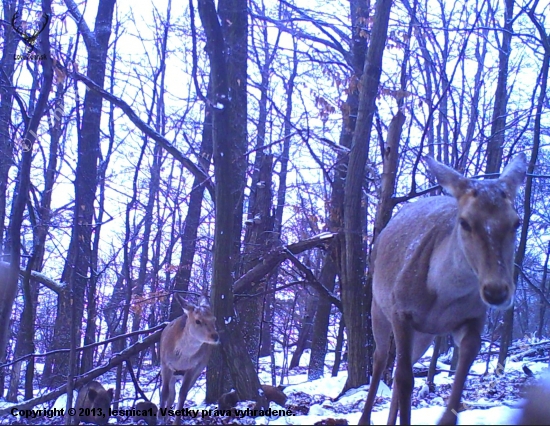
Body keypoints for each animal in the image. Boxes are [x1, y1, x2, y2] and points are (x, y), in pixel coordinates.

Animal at [157, 294, 220, 424]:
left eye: (214, 319)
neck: (182, 358)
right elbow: (164, 392)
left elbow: (183, 394)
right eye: (198, 320)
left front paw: (176, 422)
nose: (215, 336)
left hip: (196, 373)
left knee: (175, 394)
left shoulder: (194, 368)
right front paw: (159, 419)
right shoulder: (165, 364)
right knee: (170, 393)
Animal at [360, 154, 528, 426]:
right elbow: (405, 379)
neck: (443, 297)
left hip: (424, 335)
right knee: (381, 359)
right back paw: (365, 418)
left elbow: (466, 357)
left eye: (517, 222)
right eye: (465, 222)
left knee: (398, 367)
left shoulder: (473, 318)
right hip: (378, 306)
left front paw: (446, 418)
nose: (496, 291)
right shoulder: (400, 310)